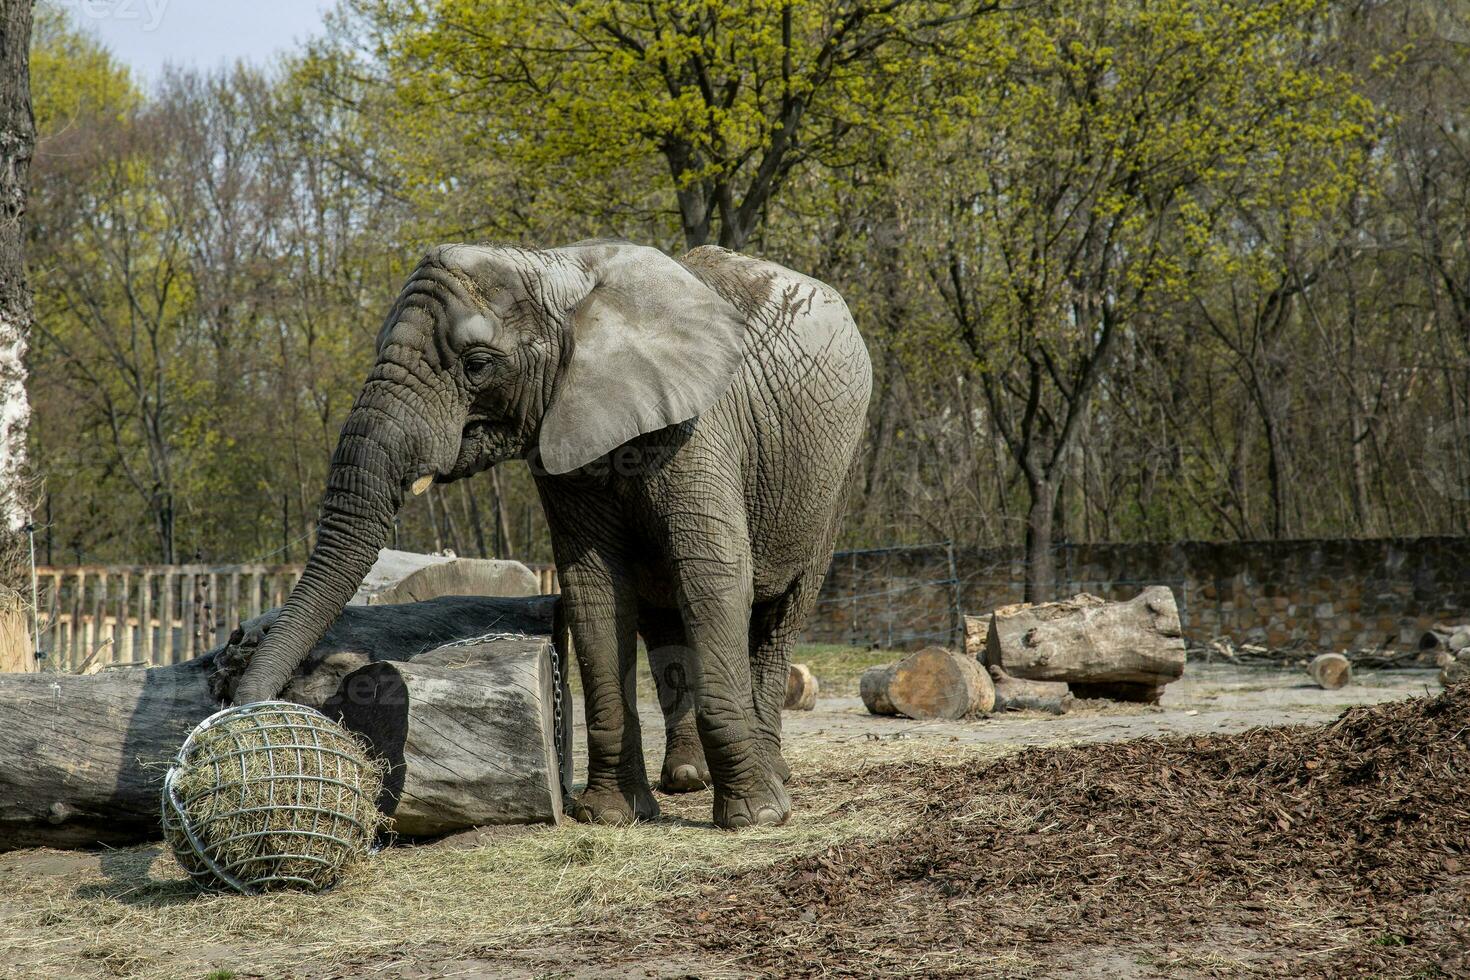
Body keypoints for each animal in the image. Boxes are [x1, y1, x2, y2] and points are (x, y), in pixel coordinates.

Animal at [232, 239, 870, 828]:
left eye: (477, 364)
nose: (244, 707)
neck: (559, 271)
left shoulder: (700, 427)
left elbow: (712, 578)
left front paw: (757, 816)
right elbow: (596, 591)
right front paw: (610, 816)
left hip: (835, 476)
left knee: (780, 614)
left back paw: (770, 773)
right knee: (663, 618)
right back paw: (687, 778)